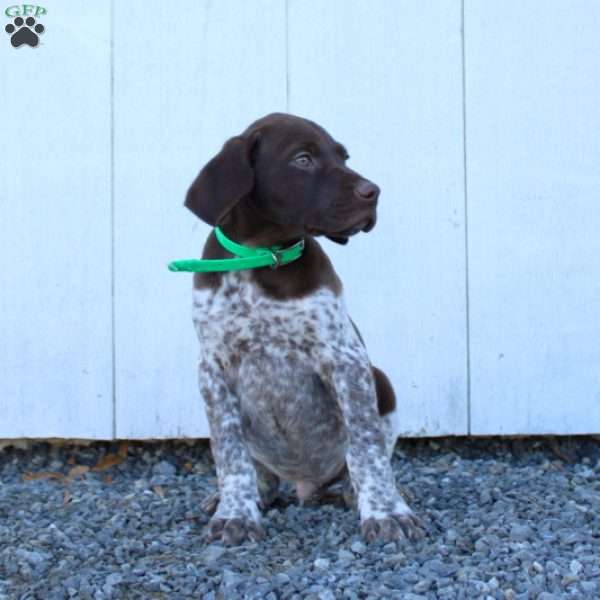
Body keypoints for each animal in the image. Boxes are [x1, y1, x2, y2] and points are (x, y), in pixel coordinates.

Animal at [184, 111, 422, 544]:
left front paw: (386, 512)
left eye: (343, 157)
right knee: (260, 470)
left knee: (364, 459)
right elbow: (229, 452)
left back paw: (360, 493)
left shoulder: (345, 359)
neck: (262, 256)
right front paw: (235, 513)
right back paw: (251, 494)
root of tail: (304, 485)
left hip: (379, 379)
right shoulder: (213, 368)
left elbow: (366, 446)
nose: (373, 192)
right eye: (303, 159)